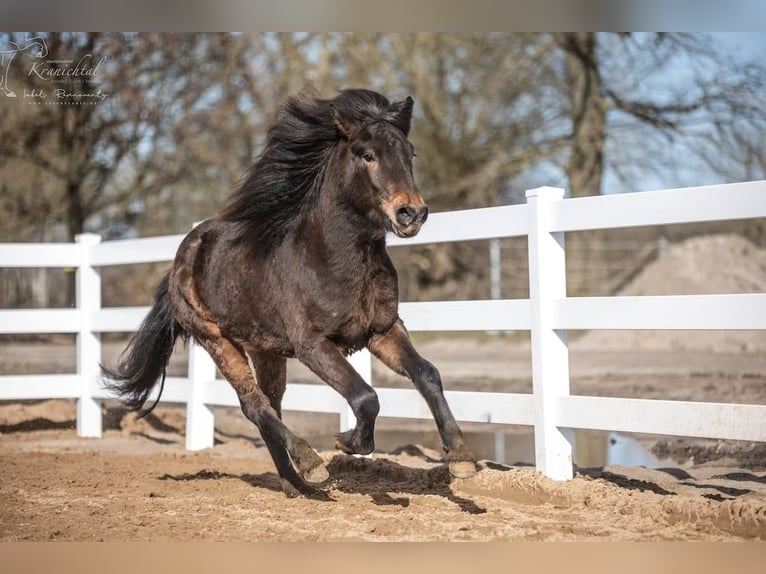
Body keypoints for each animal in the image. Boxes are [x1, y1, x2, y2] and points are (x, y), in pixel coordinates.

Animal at [105, 88, 476, 498]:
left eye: (410, 153)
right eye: (368, 155)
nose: (412, 213)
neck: (332, 258)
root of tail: (185, 251)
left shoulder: (382, 330)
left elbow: (427, 374)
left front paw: (461, 458)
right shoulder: (312, 343)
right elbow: (365, 397)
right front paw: (348, 442)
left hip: (264, 349)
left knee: (270, 406)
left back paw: (294, 482)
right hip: (216, 340)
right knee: (255, 406)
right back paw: (310, 465)